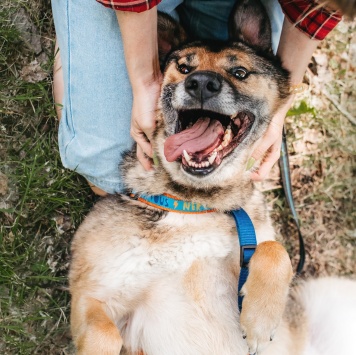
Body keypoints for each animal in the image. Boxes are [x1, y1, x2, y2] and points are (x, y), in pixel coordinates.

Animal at [69, 1, 356, 354]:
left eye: (240, 73)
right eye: (183, 68)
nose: (201, 83)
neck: (193, 202)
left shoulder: (248, 253)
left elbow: (276, 249)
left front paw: (259, 320)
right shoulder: (94, 293)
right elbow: (104, 333)